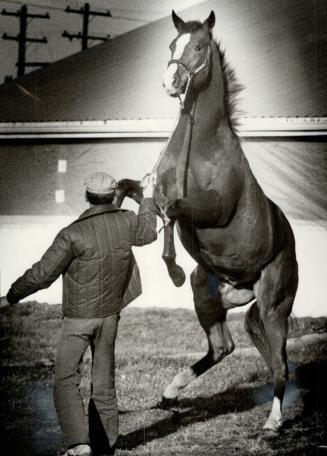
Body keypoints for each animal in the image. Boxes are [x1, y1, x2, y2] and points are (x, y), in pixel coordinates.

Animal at [116, 9, 298, 432]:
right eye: (172, 44)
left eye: (199, 46)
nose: (170, 82)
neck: (201, 147)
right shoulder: (150, 190)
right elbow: (129, 189)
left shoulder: (212, 209)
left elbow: (175, 210)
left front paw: (173, 269)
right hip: (208, 295)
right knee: (222, 346)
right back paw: (169, 393)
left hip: (274, 305)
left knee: (279, 364)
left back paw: (273, 421)